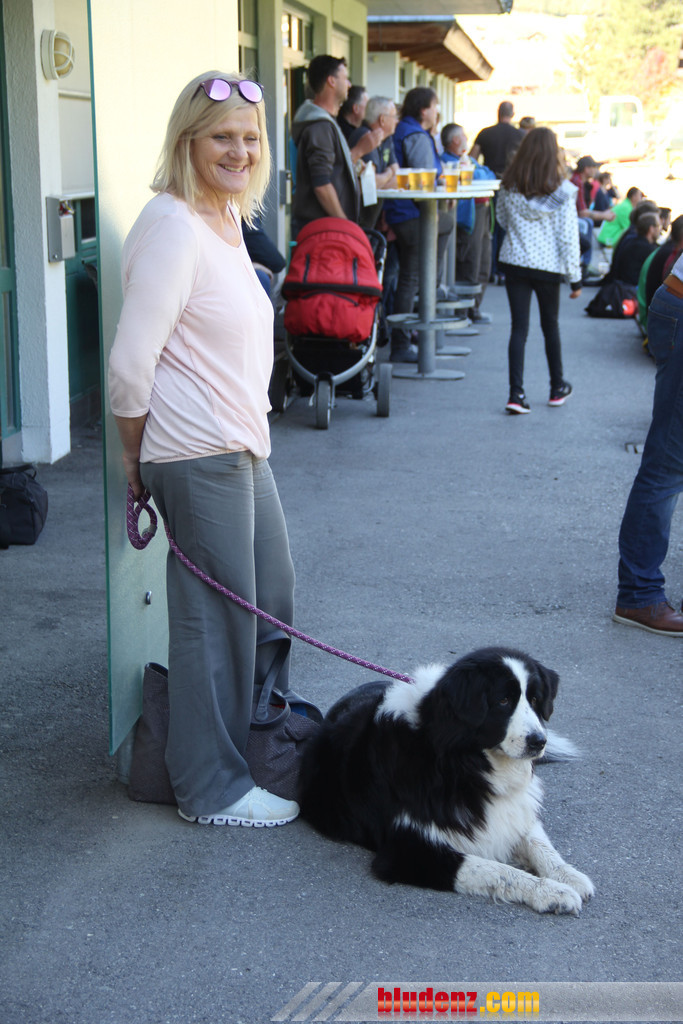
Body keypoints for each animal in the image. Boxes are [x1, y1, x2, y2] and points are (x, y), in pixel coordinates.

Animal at [298, 646, 594, 915]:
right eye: (503, 701)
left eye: (534, 699)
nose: (538, 741)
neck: (460, 760)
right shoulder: (406, 852)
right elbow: (495, 869)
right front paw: (551, 892)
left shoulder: (513, 812)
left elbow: (539, 845)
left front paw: (569, 876)